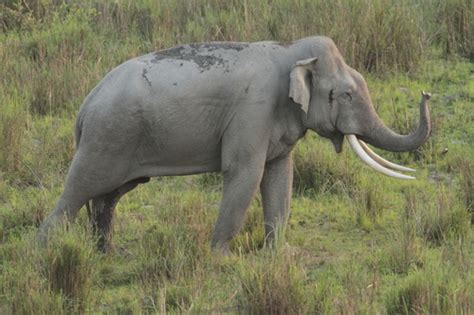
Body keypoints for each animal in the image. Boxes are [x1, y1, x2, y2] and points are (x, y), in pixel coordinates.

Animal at [39, 36, 432, 254]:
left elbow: (280, 178)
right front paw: (220, 257)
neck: (290, 50)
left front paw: (278, 255)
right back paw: (47, 251)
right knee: (78, 192)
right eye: (347, 95)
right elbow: (245, 173)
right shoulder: (253, 111)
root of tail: (85, 105)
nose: (427, 94)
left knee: (107, 197)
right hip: (106, 138)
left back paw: (106, 254)